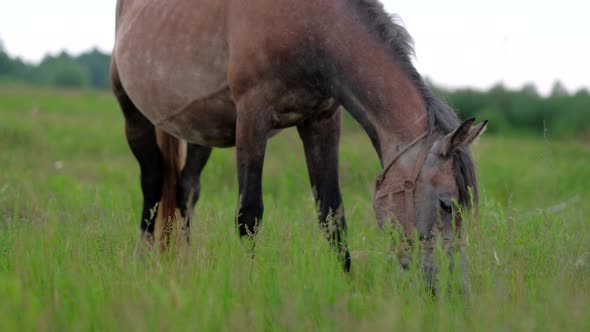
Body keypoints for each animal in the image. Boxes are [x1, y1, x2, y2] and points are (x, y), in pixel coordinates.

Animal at [112, 0, 490, 288]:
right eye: (447, 205)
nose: (455, 287)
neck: (310, 26)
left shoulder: (322, 120)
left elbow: (332, 214)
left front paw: (347, 288)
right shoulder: (252, 117)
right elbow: (249, 215)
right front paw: (249, 286)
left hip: (198, 129)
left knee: (186, 189)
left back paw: (184, 266)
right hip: (134, 116)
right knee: (153, 185)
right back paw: (141, 263)